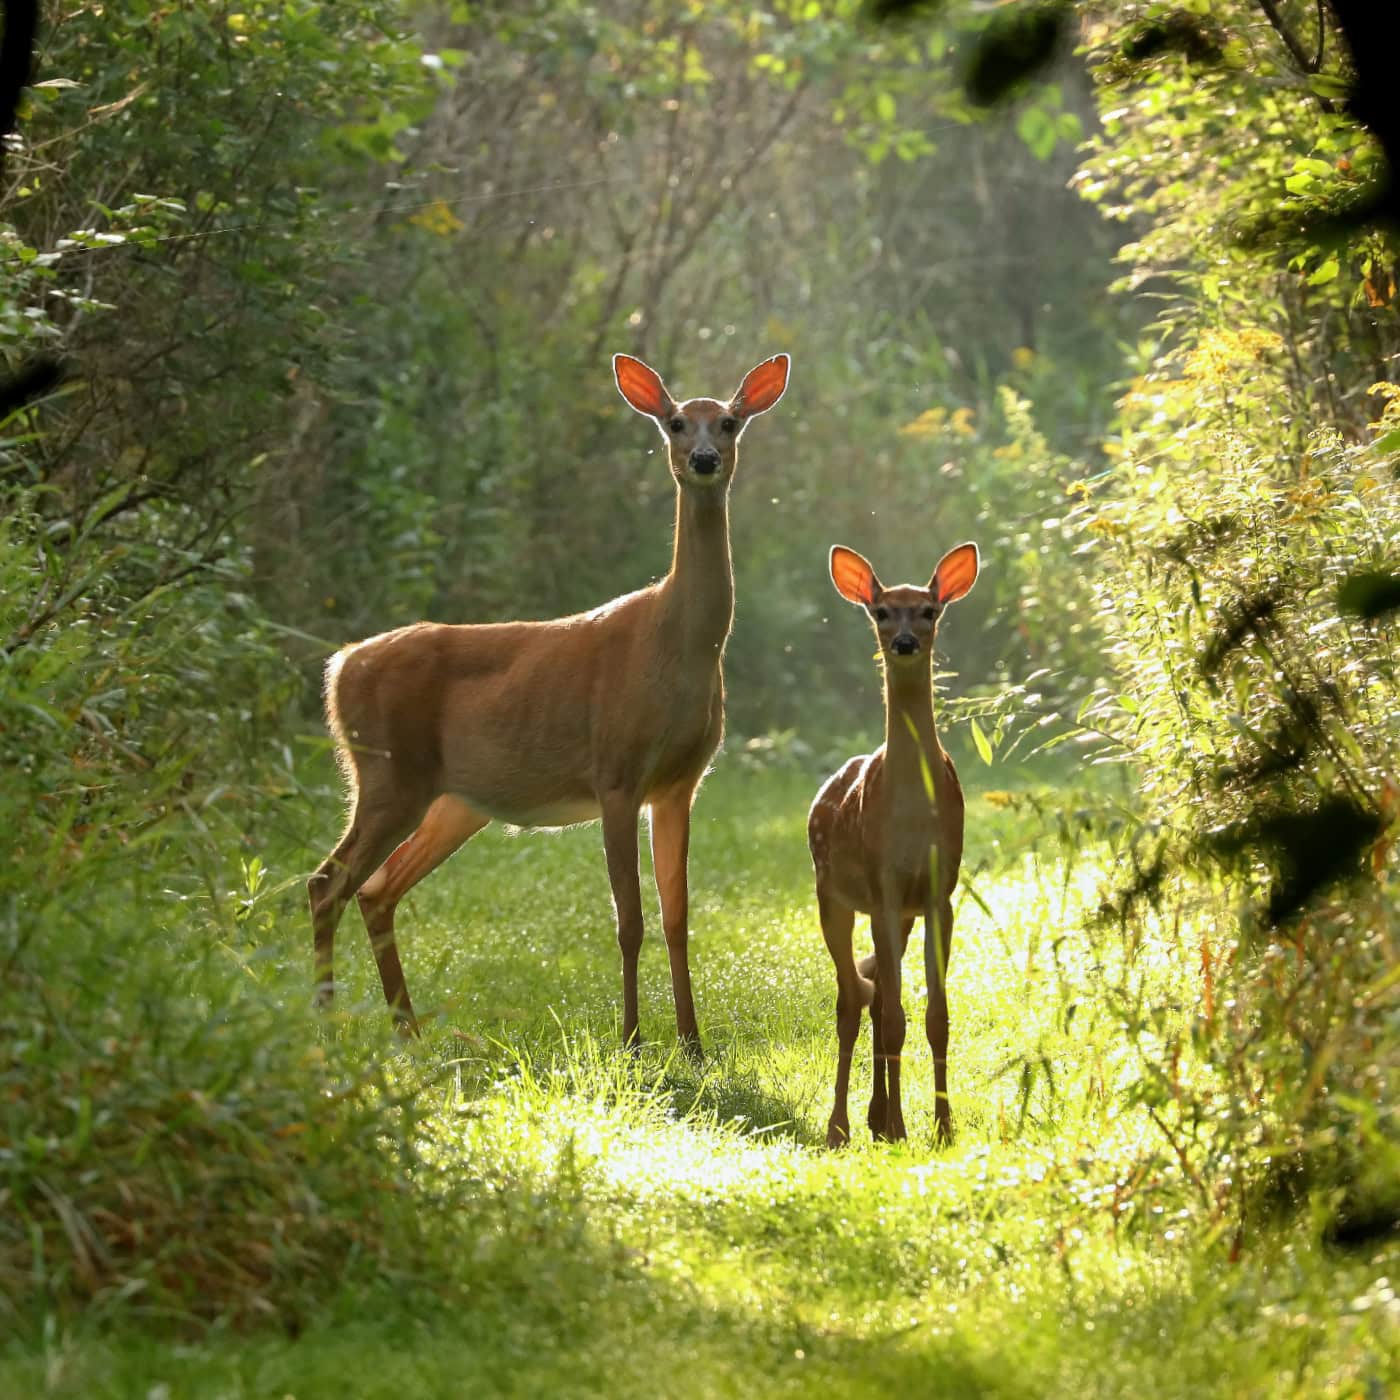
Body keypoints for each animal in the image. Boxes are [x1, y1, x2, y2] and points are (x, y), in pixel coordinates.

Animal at [307, 352, 790, 1050]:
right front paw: (632, 1040)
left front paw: (694, 1045)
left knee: (376, 889)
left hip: (453, 802)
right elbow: (629, 919)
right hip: (388, 773)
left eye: (728, 422)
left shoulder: (680, 784)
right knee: (327, 882)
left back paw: (407, 1031)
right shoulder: (616, 771)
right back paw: (325, 1022)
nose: (702, 459)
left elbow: (677, 915)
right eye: (674, 422)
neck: (675, 645)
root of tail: (339, 665)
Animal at [808, 540, 980, 1148]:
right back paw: (841, 1126)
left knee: (876, 992)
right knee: (850, 1000)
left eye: (928, 610)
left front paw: (943, 1127)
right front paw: (906, 1125)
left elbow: (935, 1017)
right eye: (882, 611)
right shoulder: (882, 886)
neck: (910, 814)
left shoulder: (937, 893)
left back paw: (876, 1118)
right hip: (831, 896)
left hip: (897, 915)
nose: (904, 642)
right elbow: (894, 1018)